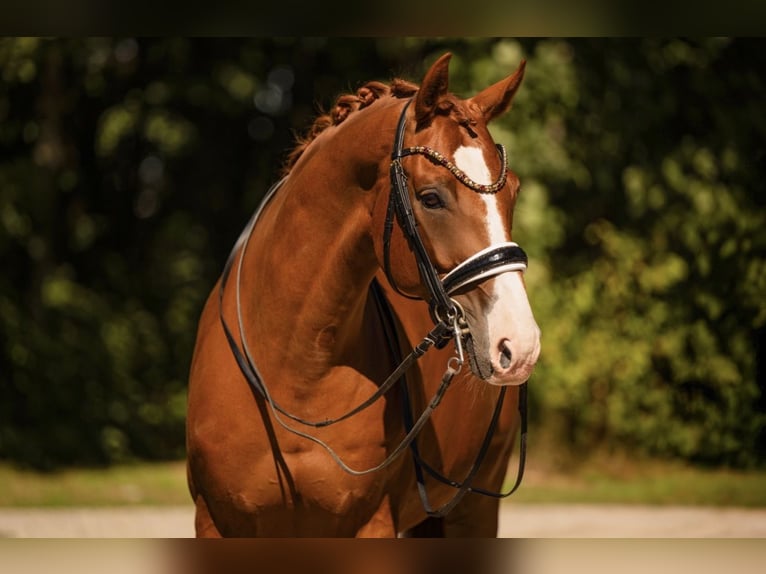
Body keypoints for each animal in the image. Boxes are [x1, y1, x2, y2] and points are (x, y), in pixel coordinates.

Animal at [185, 52, 541, 538]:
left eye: (514, 192)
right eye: (431, 198)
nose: (519, 344)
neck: (293, 372)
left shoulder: (371, 523)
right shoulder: (217, 521)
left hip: (473, 509)